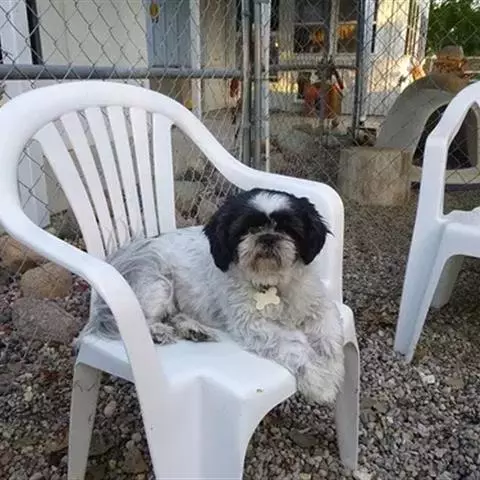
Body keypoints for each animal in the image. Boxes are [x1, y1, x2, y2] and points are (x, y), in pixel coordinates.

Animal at [82, 188, 345, 403]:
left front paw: (332, 365)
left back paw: (193, 329)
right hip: (157, 283)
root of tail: (124, 256)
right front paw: (319, 381)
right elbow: (296, 345)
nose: (268, 237)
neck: (272, 283)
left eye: (288, 229)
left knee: (174, 314)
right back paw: (159, 333)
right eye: (247, 229)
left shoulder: (319, 307)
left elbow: (330, 336)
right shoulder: (253, 324)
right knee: (147, 318)